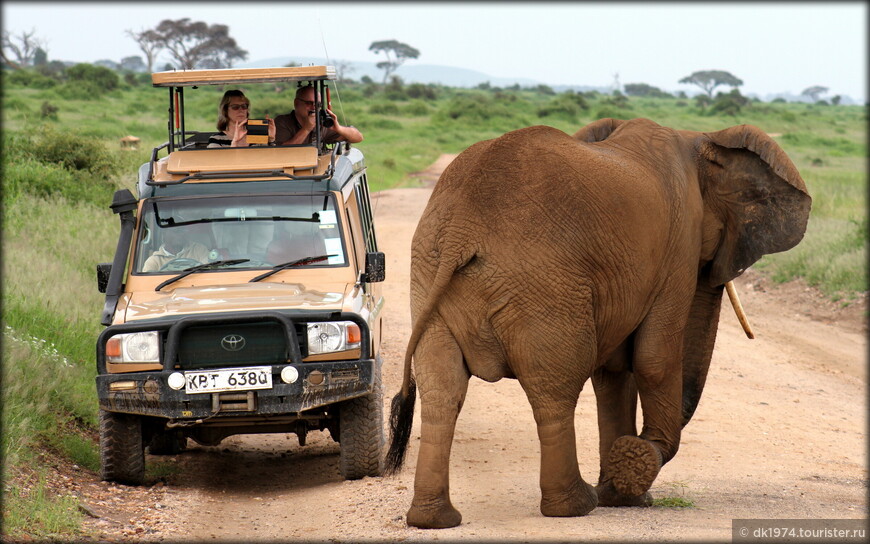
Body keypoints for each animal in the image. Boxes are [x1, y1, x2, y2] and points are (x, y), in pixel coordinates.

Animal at [384, 118, 816, 528]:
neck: (698, 141)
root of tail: (462, 226)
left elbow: (613, 373)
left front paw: (624, 494)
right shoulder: (678, 248)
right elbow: (653, 359)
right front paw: (633, 470)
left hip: (427, 273)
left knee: (442, 391)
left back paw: (434, 520)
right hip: (546, 284)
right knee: (554, 388)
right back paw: (575, 506)